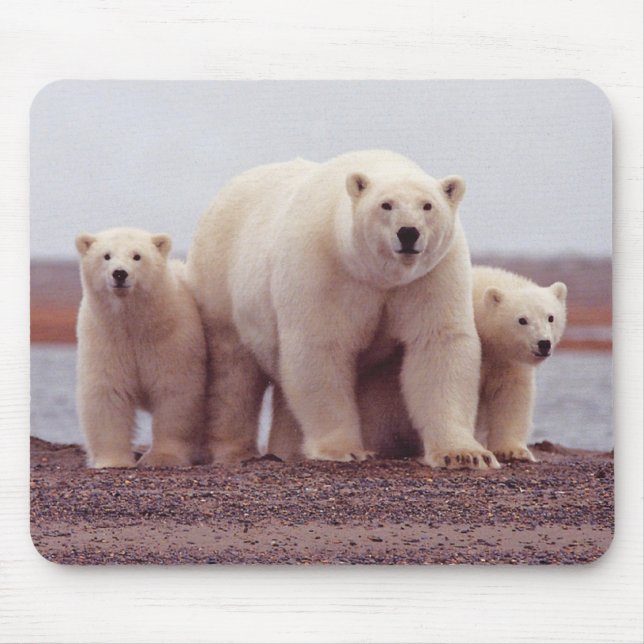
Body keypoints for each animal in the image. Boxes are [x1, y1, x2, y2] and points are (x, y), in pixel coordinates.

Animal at [75, 227, 207, 468]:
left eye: (137, 256)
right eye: (106, 255)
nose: (119, 274)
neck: (134, 325)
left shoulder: (171, 339)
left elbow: (175, 392)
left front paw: (162, 458)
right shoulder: (105, 339)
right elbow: (108, 392)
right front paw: (113, 461)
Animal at [187, 149, 499, 469]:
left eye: (428, 205)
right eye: (386, 204)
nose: (408, 233)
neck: (377, 274)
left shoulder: (430, 275)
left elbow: (438, 343)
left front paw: (465, 454)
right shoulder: (324, 267)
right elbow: (321, 347)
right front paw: (344, 449)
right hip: (221, 282)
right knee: (233, 373)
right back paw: (235, 451)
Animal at [355, 265, 568, 463]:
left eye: (550, 317)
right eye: (522, 320)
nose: (543, 343)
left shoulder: (505, 361)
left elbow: (511, 395)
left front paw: (514, 451)